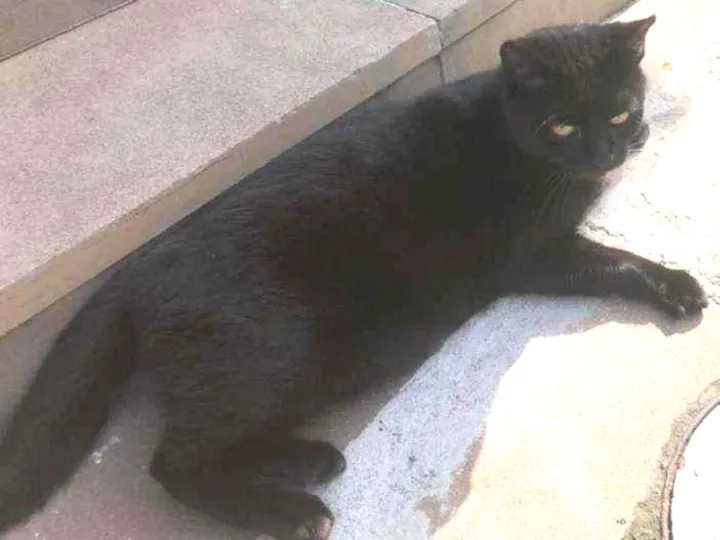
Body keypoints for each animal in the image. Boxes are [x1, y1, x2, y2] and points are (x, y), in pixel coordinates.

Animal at [0, 15, 707, 540]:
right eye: (561, 124)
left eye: (619, 113)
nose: (607, 151)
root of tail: (138, 266)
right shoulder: (537, 253)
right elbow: (615, 260)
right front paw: (677, 283)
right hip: (275, 347)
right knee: (175, 463)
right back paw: (292, 511)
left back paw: (311, 459)